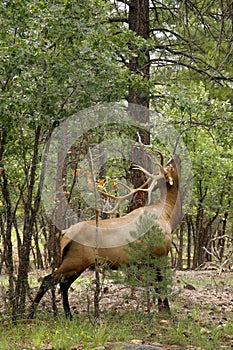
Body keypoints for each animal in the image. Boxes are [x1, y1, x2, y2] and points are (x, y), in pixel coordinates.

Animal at [28, 154, 182, 318]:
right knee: (49, 279)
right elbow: (161, 285)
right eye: (170, 168)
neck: (168, 217)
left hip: (76, 262)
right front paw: (166, 312)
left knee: (63, 285)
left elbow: (157, 286)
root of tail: (64, 234)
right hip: (75, 260)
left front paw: (162, 310)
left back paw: (68, 314)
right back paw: (31, 313)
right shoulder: (160, 253)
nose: (175, 157)